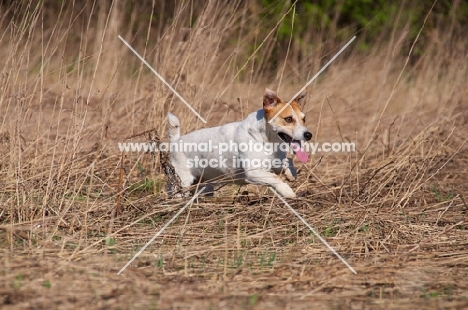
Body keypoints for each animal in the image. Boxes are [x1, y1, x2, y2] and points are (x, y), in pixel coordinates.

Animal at [166, 88, 312, 197]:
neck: (268, 141)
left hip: (205, 186)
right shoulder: (253, 172)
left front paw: (290, 174)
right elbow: (274, 178)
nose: (308, 135)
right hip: (181, 184)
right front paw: (287, 191)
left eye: (304, 119)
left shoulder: (275, 163)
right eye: (288, 119)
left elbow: (288, 161)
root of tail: (176, 141)